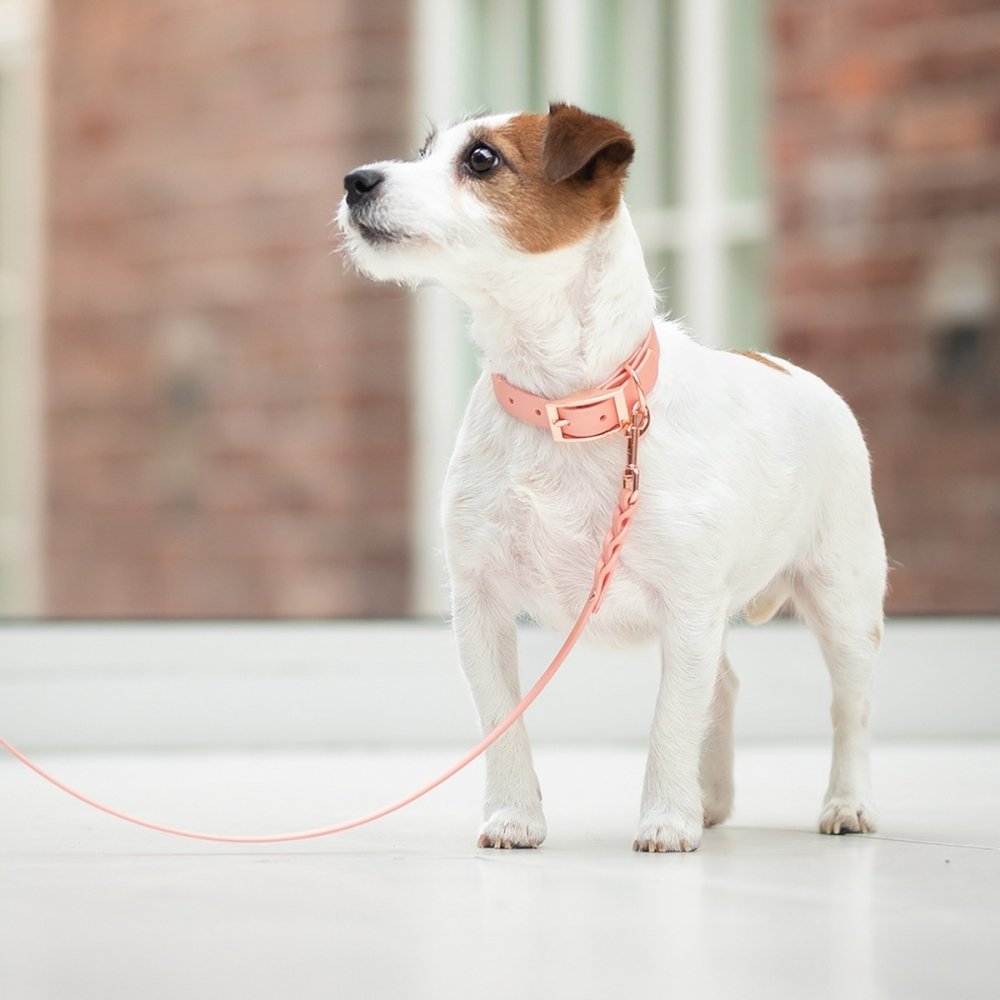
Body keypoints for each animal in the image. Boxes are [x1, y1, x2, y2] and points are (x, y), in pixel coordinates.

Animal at [340, 103, 888, 852]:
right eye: (422, 151)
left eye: (481, 160)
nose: (356, 180)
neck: (563, 404)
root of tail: (794, 372)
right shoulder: (479, 603)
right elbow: (501, 719)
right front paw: (515, 815)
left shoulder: (687, 607)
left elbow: (672, 720)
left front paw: (665, 819)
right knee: (723, 686)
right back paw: (710, 798)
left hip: (843, 601)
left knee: (848, 707)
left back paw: (846, 803)